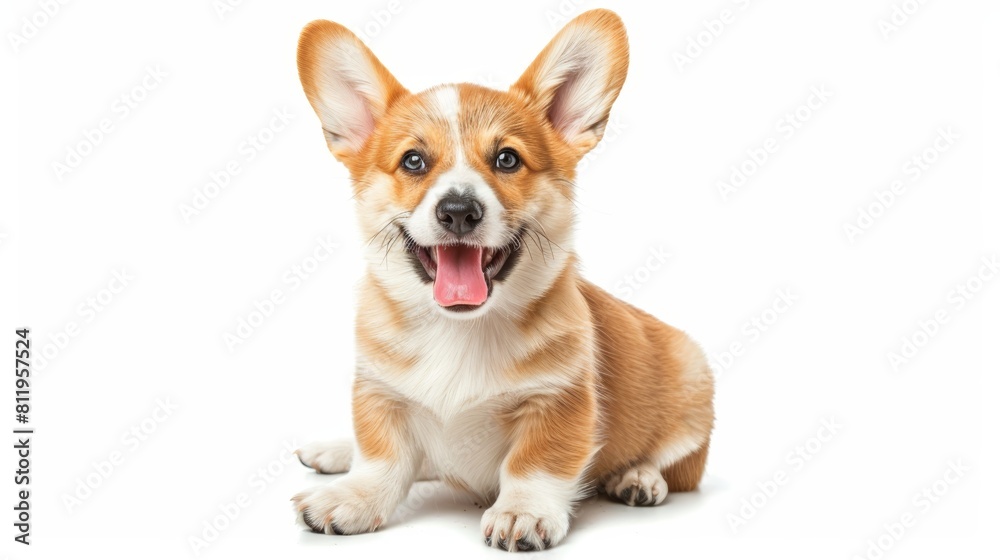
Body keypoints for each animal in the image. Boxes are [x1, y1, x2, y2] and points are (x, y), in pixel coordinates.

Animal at [292, 8, 716, 552]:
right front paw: (356, 496)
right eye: (413, 161)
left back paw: (640, 477)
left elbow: (534, 464)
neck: (459, 329)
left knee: (677, 461)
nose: (458, 210)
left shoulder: (559, 401)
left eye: (507, 159)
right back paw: (335, 450)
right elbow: (382, 457)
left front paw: (523, 512)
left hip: (690, 378)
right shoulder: (379, 393)